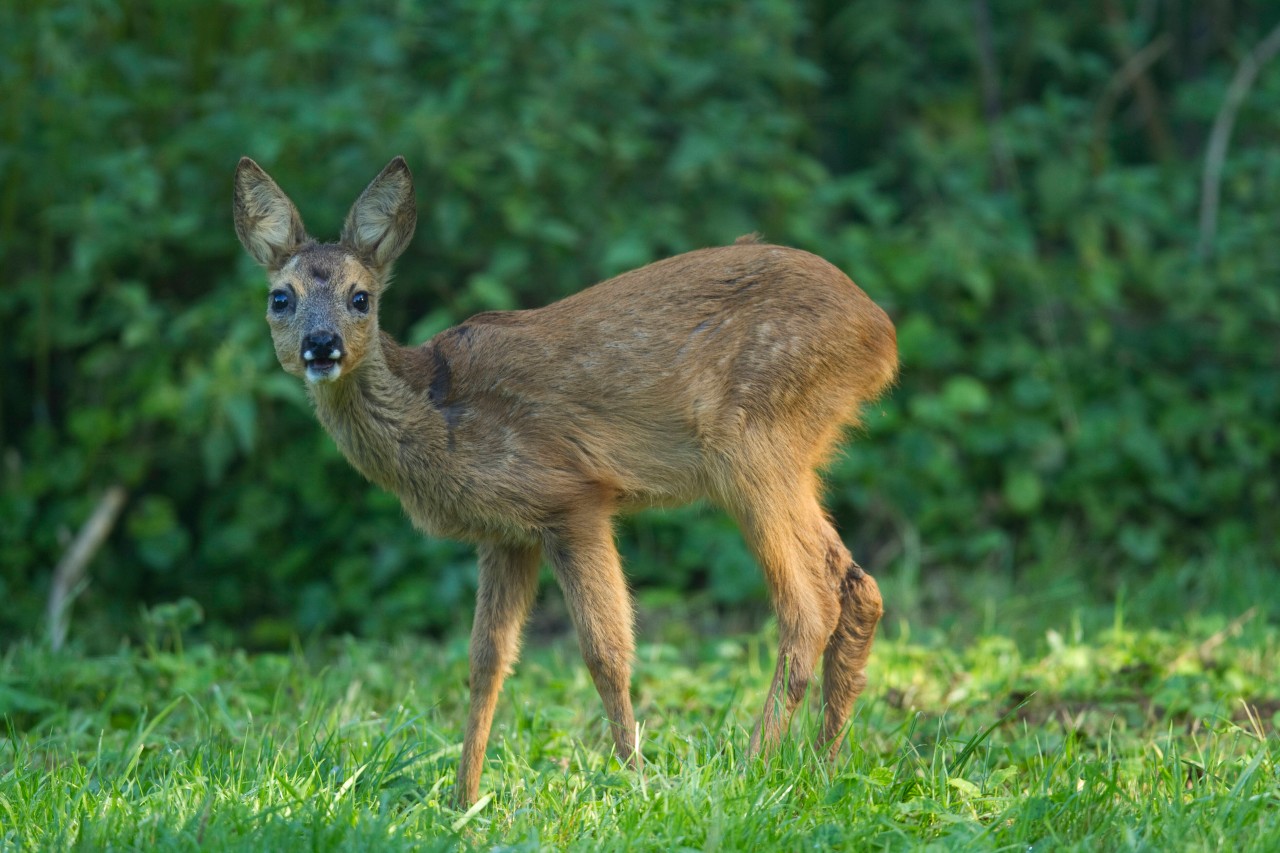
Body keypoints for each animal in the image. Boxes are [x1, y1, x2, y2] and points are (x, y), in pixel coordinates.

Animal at [238, 154, 901, 804]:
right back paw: (821, 768)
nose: (321, 346)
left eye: (361, 298)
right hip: (795, 454)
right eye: (280, 298)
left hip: (751, 443)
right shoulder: (505, 535)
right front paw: (463, 800)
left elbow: (606, 651)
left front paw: (635, 782)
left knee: (807, 604)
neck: (437, 410)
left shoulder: (570, 496)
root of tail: (881, 332)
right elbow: (486, 662)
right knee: (857, 585)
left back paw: (751, 771)